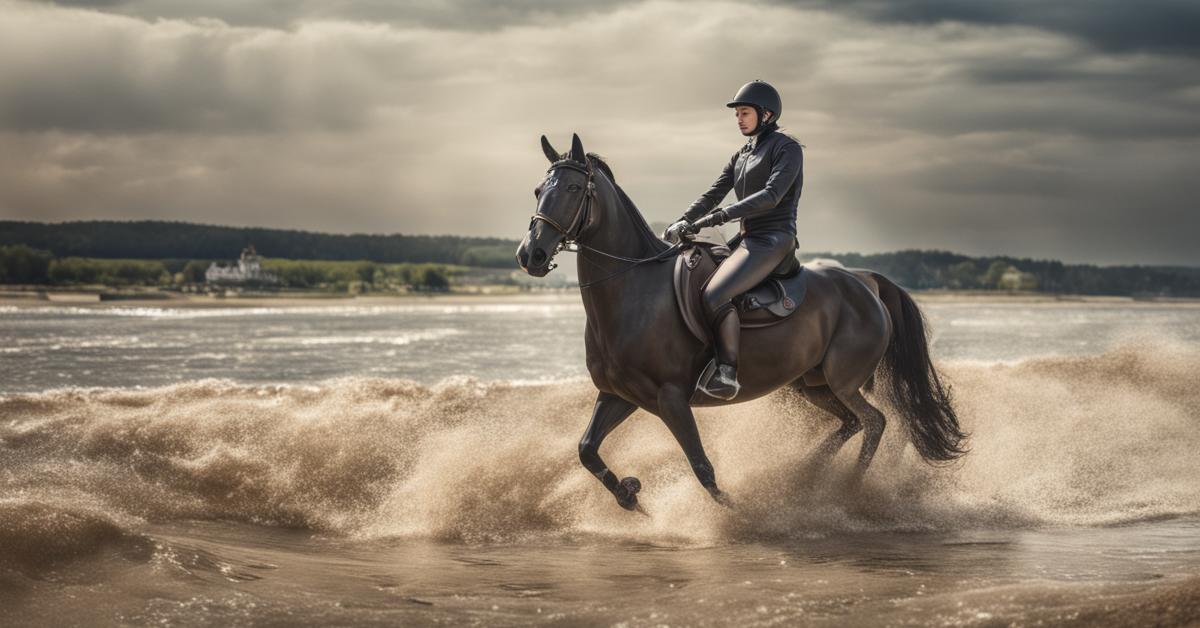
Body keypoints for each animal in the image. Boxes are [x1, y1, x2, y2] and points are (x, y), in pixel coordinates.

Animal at [516, 132, 964, 511]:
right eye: (538, 190)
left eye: (574, 189)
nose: (530, 254)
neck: (633, 290)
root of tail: (864, 282)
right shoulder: (619, 394)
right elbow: (586, 449)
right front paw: (629, 494)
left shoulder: (670, 398)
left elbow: (702, 468)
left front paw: (737, 514)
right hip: (811, 384)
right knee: (852, 423)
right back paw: (805, 477)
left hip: (843, 380)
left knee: (874, 421)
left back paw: (845, 490)